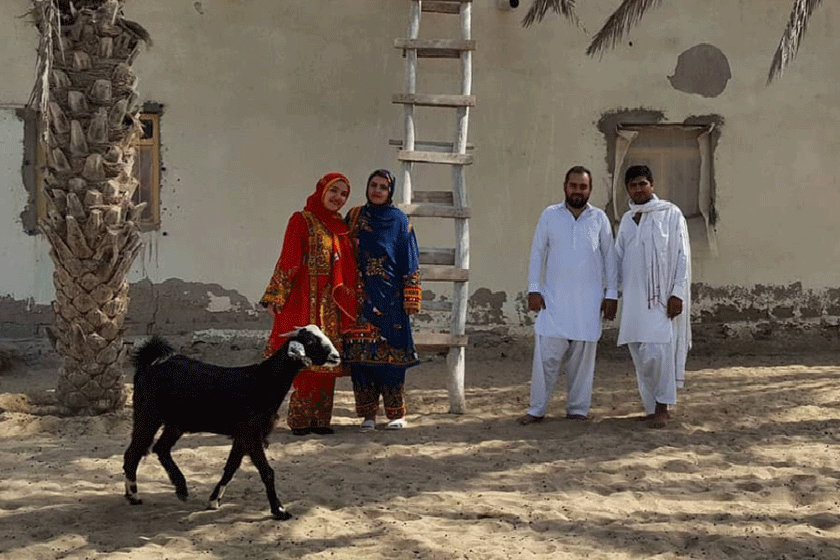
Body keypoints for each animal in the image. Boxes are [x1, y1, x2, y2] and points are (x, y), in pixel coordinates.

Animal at [121, 324, 338, 520]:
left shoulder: (242, 436)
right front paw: (279, 510)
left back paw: (181, 488)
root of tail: (150, 361)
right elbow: (267, 472)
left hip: (176, 423)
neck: (263, 382)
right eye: (310, 341)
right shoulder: (251, 433)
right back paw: (134, 496)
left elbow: (231, 468)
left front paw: (214, 500)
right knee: (133, 453)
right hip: (147, 416)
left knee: (161, 448)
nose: (336, 356)